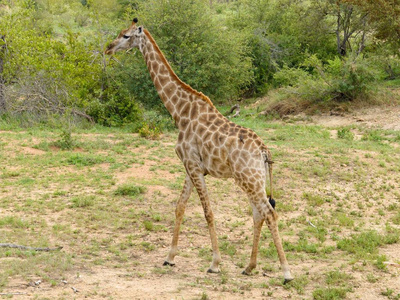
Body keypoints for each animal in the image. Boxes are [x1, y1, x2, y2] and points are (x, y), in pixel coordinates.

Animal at [106, 18, 294, 284]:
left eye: (125, 36)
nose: (108, 48)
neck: (179, 112)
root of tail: (264, 151)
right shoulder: (189, 166)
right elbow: (180, 207)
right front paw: (169, 257)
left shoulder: (194, 167)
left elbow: (208, 213)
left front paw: (214, 264)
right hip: (251, 180)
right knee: (259, 214)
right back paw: (249, 267)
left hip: (249, 179)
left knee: (269, 213)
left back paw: (286, 272)